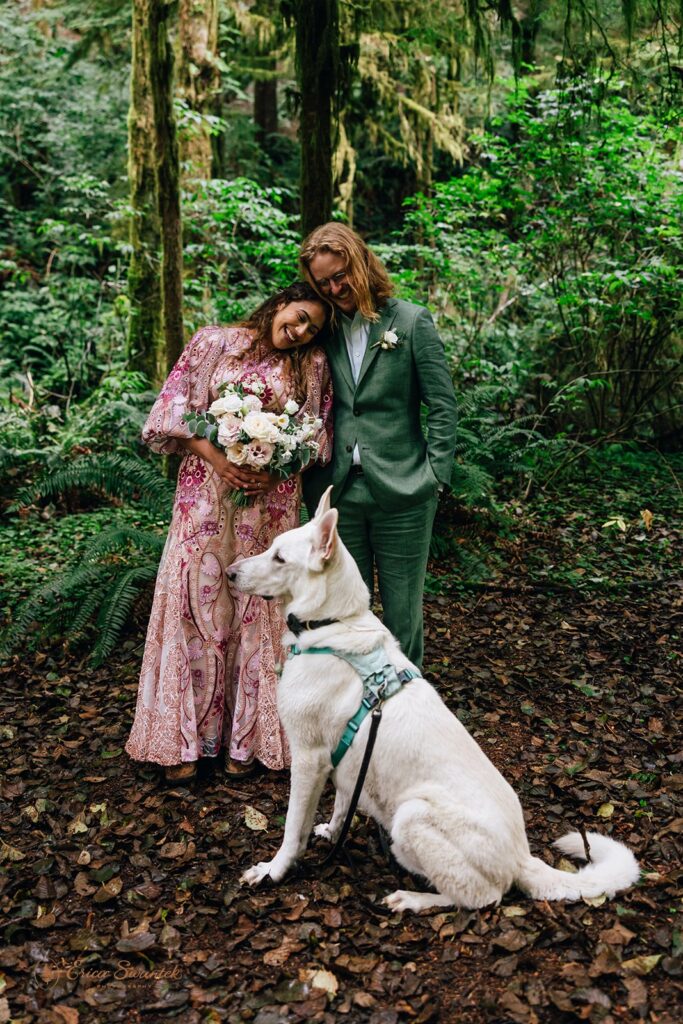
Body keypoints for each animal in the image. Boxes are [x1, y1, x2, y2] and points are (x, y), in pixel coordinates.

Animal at [229, 489, 643, 913]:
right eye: (271, 548)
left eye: (280, 558)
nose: (229, 572)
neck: (335, 624)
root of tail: (521, 857)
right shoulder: (345, 761)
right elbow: (342, 805)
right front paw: (332, 831)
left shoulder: (309, 759)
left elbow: (292, 829)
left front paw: (274, 870)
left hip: (412, 815)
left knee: (481, 897)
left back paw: (412, 898)